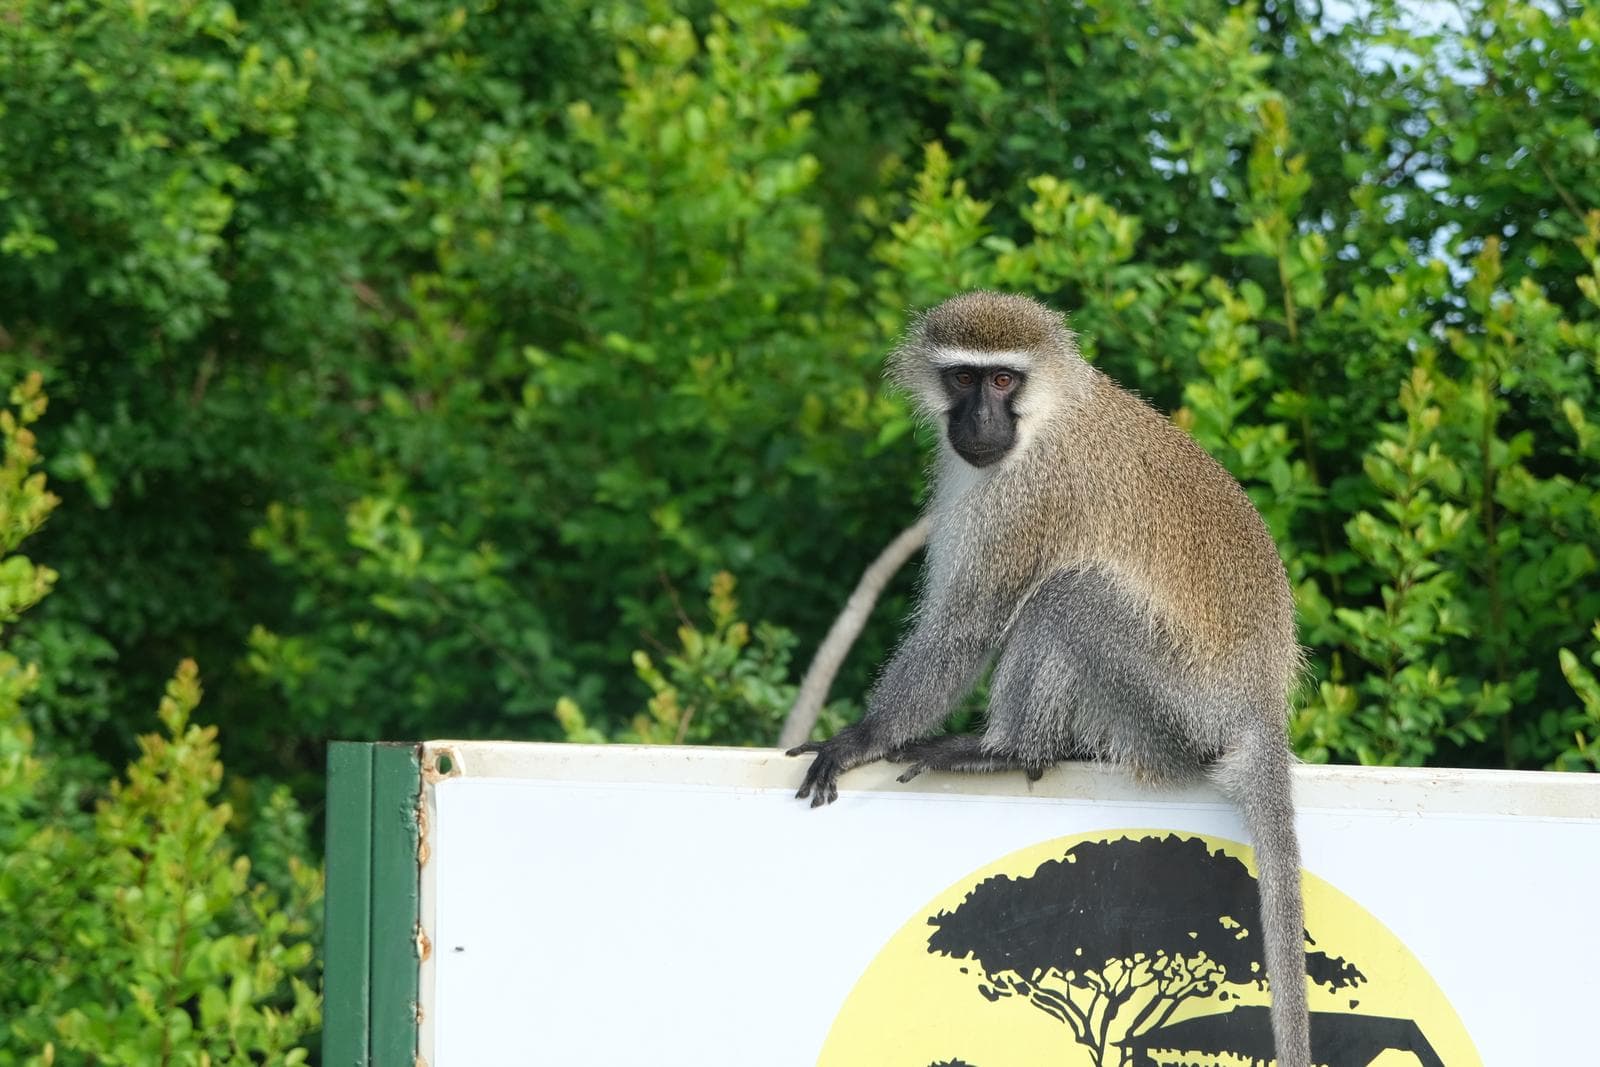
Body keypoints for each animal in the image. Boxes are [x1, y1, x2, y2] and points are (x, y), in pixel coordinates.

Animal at [788, 291, 1310, 1067]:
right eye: (964, 379)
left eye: (1005, 380)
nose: (979, 421)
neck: (1046, 418)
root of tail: (1259, 705)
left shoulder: (1029, 497)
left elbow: (968, 626)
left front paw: (862, 737)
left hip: (1176, 703)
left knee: (1067, 596)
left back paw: (1007, 749)